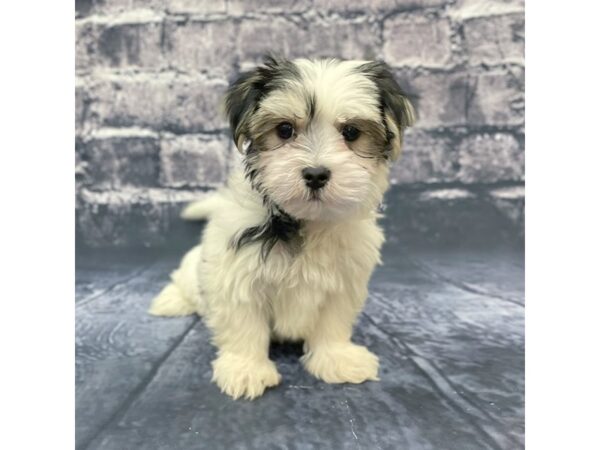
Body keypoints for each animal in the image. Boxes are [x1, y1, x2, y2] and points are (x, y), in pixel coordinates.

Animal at [150, 57, 414, 400]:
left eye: (351, 132)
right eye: (285, 130)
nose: (315, 174)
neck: (307, 221)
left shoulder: (345, 279)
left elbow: (333, 321)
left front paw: (337, 358)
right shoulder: (237, 271)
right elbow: (244, 323)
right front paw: (246, 369)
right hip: (194, 269)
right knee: (183, 279)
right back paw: (171, 301)